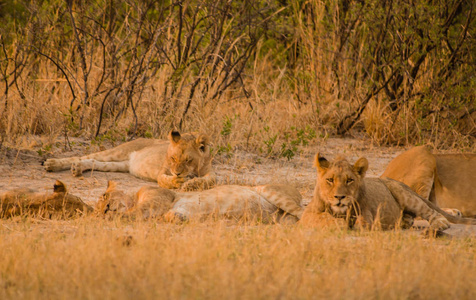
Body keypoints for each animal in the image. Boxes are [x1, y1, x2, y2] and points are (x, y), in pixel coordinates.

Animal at [44, 131, 216, 190]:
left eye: (188, 160)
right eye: (173, 158)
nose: (177, 173)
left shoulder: (209, 172)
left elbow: (210, 180)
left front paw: (192, 183)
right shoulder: (162, 172)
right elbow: (165, 180)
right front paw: (178, 181)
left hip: (117, 164)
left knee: (94, 162)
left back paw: (78, 168)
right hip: (118, 151)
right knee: (82, 157)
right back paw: (52, 164)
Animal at [302, 154, 476, 231]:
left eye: (349, 180)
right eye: (330, 180)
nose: (339, 197)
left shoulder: (367, 215)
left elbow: (362, 223)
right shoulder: (307, 215)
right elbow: (322, 217)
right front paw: (339, 223)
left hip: (407, 196)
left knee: (430, 212)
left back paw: (439, 224)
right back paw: (403, 222)